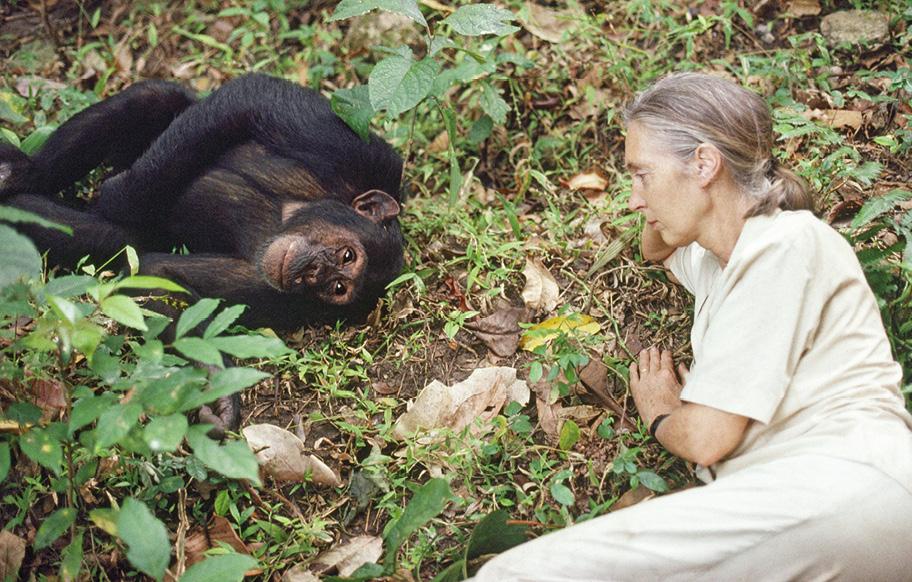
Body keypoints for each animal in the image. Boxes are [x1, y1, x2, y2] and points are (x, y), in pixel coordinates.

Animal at [0, 74, 406, 434]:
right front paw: (118, 197)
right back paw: (24, 172)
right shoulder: (355, 155)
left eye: (338, 289)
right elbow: (250, 99)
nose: (314, 272)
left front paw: (219, 395)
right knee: (155, 98)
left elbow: (160, 273)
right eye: (347, 256)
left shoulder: (274, 289)